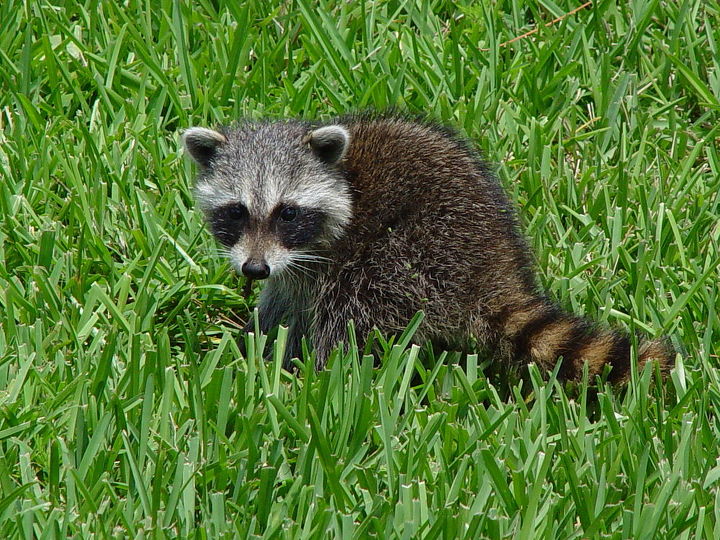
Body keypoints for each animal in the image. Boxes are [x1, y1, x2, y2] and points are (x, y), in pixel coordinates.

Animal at [184, 113, 676, 384]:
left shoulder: (331, 255)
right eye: (236, 212)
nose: (253, 270)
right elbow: (280, 306)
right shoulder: (291, 270)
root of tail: (492, 264)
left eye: (287, 213)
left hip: (414, 256)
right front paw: (255, 344)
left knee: (352, 310)